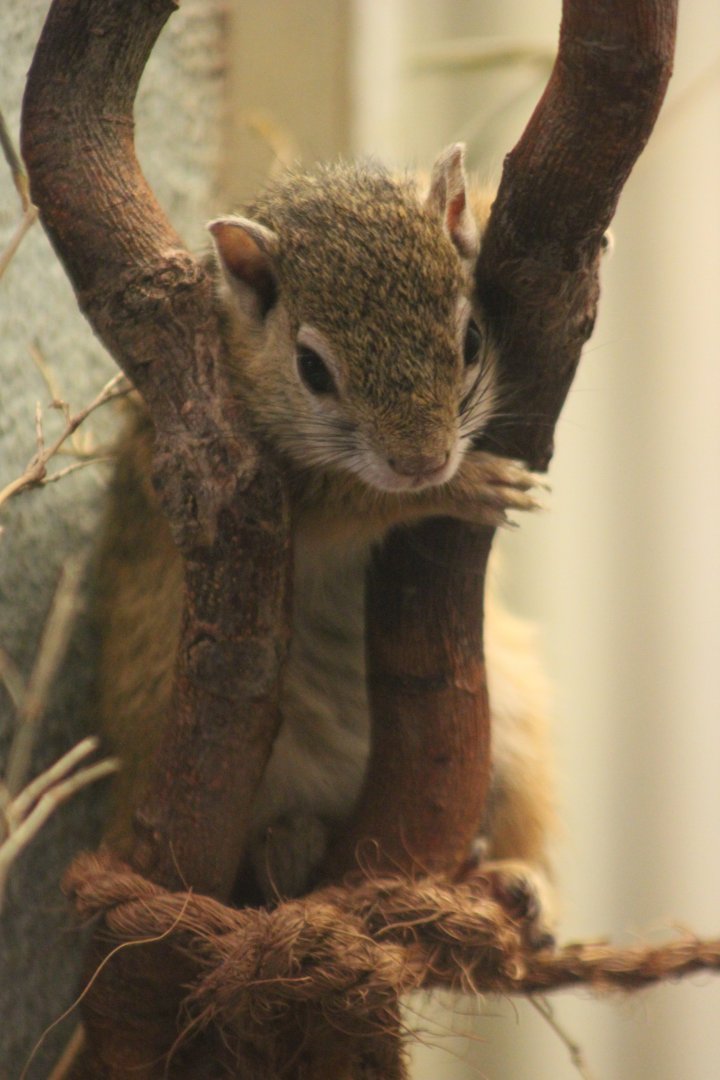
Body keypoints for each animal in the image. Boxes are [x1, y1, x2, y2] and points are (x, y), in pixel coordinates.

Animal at [96, 144, 555, 935]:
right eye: (312, 369)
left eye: (470, 340)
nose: (424, 462)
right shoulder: (233, 479)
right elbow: (350, 502)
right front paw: (461, 487)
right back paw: (291, 847)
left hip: (522, 745)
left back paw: (518, 881)